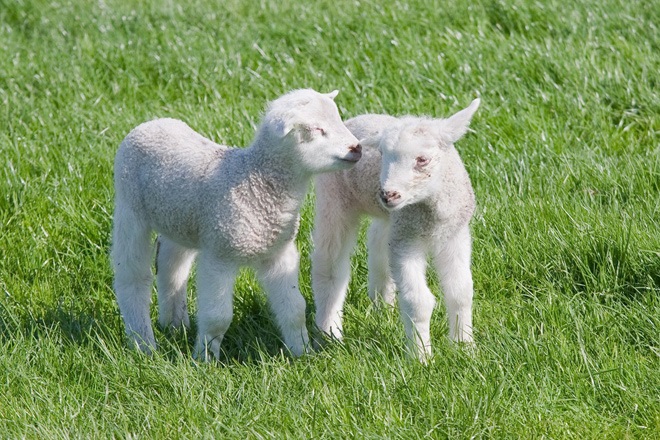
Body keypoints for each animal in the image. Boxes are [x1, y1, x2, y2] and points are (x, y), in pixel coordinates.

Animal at [111, 87, 364, 360]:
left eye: (338, 120)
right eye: (316, 129)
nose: (357, 148)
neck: (256, 181)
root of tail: (151, 123)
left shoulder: (278, 252)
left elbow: (295, 308)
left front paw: (302, 353)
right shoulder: (219, 255)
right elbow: (217, 318)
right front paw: (205, 360)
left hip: (179, 219)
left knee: (171, 267)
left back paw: (174, 325)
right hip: (129, 208)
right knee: (132, 276)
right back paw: (143, 344)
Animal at [312, 99, 482, 360]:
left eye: (422, 160)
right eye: (383, 155)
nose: (388, 195)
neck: (431, 214)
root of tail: (353, 120)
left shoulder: (454, 234)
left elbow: (461, 292)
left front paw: (464, 347)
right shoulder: (406, 241)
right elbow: (418, 301)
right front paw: (421, 357)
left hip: (389, 220)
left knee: (378, 244)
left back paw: (382, 306)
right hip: (333, 196)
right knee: (329, 265)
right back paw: (330, 334)